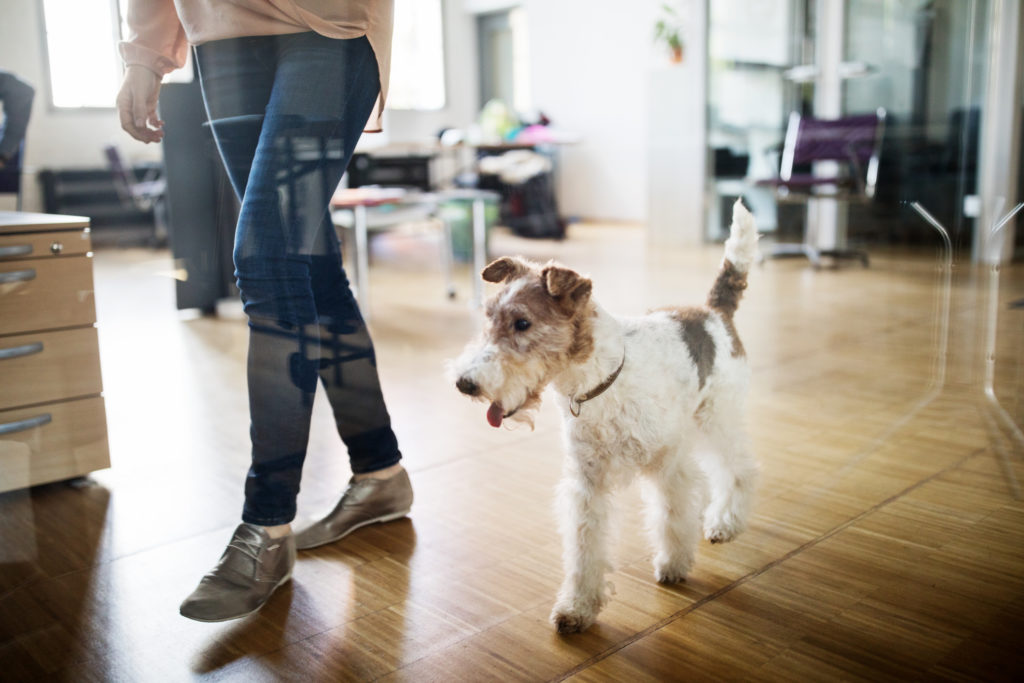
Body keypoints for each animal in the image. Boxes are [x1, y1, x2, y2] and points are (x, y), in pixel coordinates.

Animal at [452, 200, 757, 634]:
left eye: (523, 323)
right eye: (489, 317)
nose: (465, 384)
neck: (601, 380)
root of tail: (713, 311)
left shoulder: (668, 465)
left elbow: (672, 517)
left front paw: (673, 565)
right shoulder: (587, 482)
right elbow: (585, 547)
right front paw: (576, 608)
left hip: (718, 416)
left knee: (739, 469)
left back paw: (725, 522)